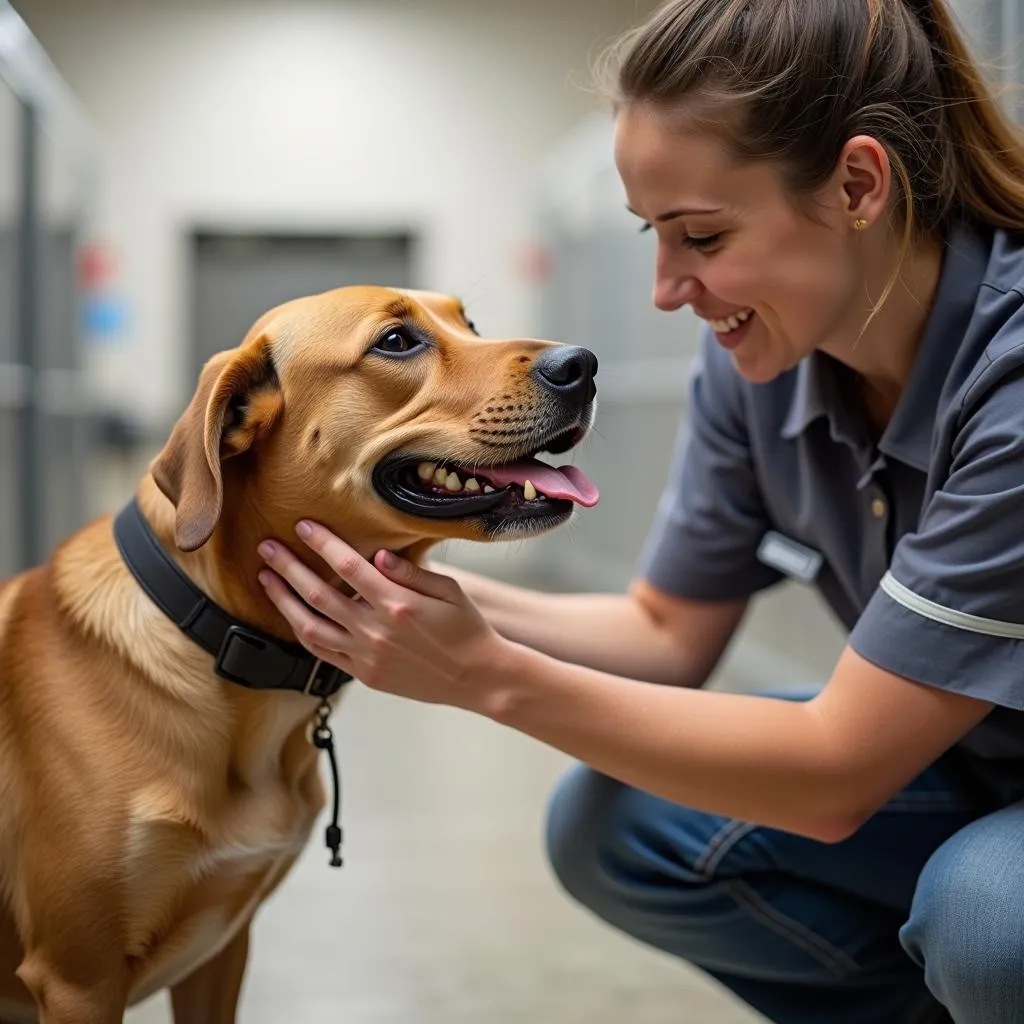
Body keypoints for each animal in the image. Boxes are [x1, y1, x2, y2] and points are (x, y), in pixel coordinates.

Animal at [0, 288, 598, 1024]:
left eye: (470, 322)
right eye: (396, 342)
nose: (583, 365)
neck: (215, 634)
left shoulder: (222, 950)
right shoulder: (77, 979)